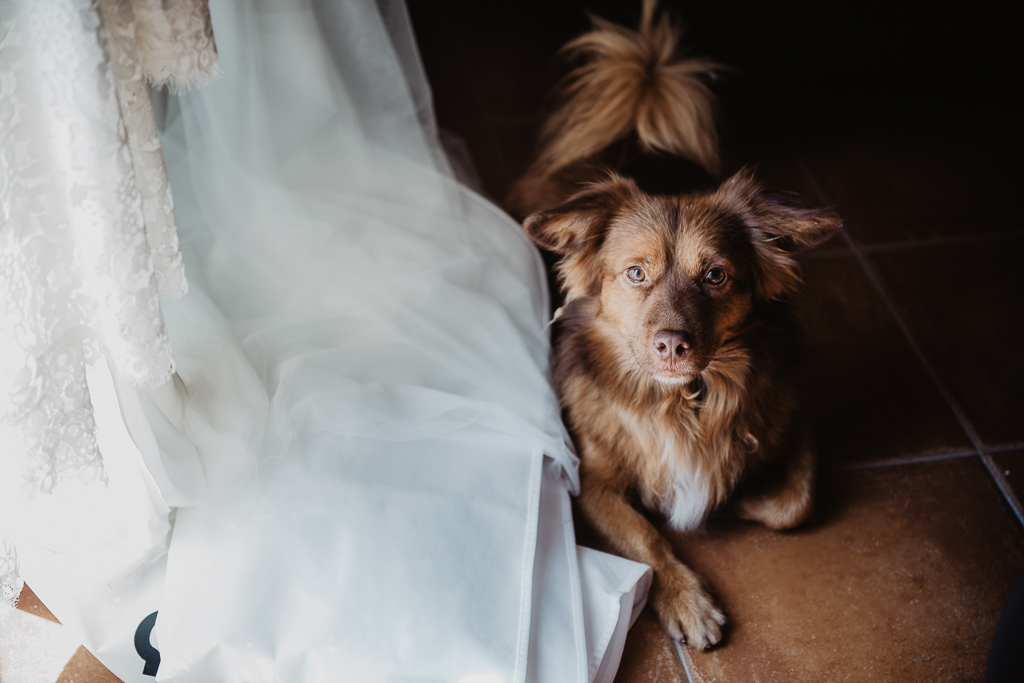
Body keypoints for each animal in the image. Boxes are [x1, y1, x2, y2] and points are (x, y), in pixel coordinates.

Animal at [509, 1, 839, 651]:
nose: (670, 346)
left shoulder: (795, 417)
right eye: (635, 273)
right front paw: (688, 600)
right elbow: (647, 540)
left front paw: (734, 498)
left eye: (715, 275)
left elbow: (795, 502)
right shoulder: (593, 482)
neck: (683, 401)